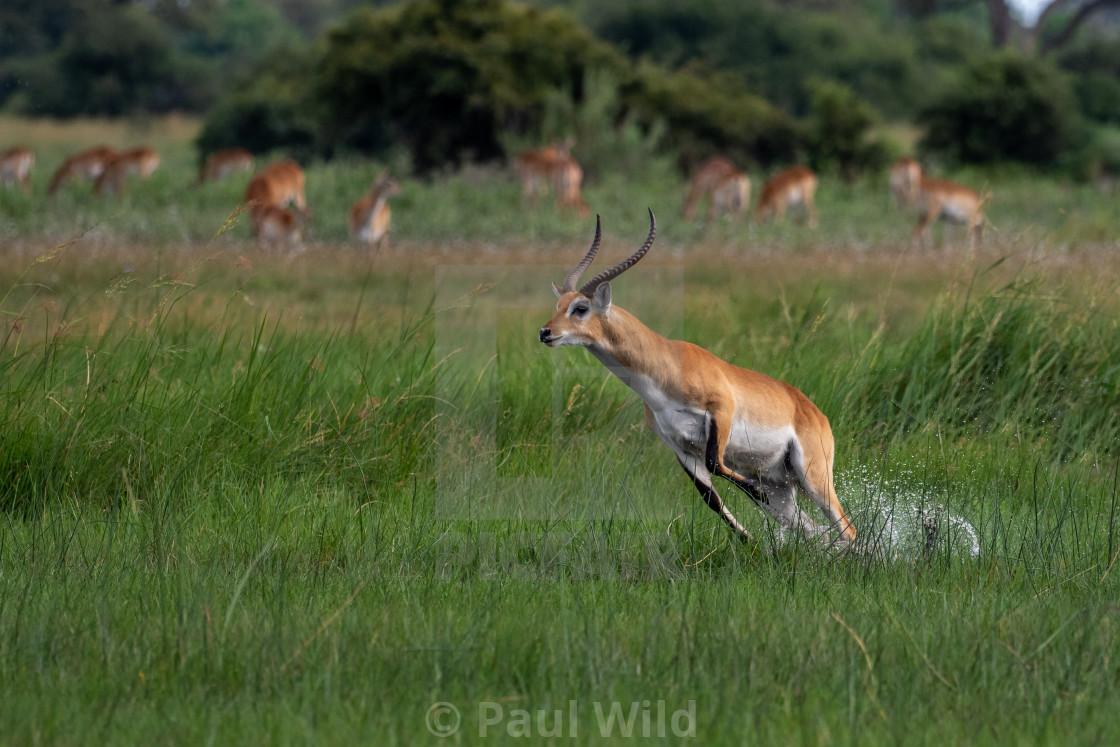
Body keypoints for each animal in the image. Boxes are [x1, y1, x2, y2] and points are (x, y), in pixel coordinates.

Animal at [537, 212, 851, 546]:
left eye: (580, 308)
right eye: (558, 306)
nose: (545, 332)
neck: (665, 368)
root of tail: (815, 412)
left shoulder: (720, 411)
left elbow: (719, 465)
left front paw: (754, 502)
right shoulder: (681, 448)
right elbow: (711, 498)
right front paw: (750, 539)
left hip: (814, 478)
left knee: (847, 528)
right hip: (783, 485)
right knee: (811, 526)